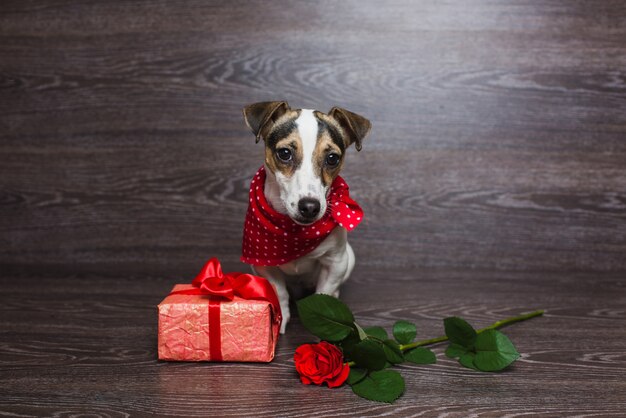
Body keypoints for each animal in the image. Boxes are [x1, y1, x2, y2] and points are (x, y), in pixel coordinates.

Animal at [240, 101, 368, 334]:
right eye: (284, 153)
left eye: (332, 158)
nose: (310, 207)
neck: (293, 232)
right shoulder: (263, 265)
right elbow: (279, 292)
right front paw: (281, 319)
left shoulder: (335, 262)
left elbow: (324, 294)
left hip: (349, 257)